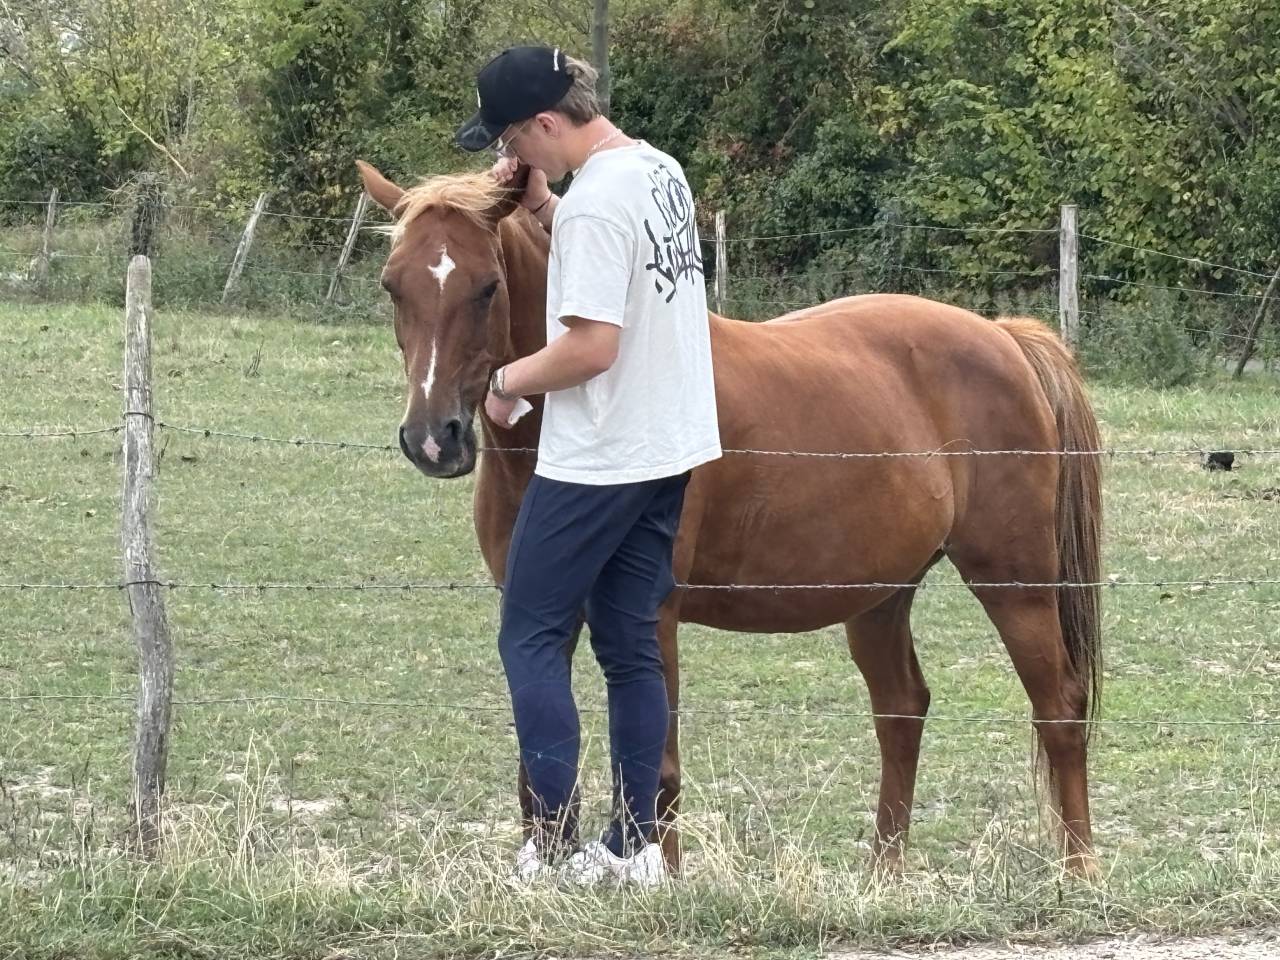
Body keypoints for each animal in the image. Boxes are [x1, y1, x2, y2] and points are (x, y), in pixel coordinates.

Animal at [355, 159, 1104, 876]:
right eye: (394, 287)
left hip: (1015, 585)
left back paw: (1078, 875)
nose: (434, 437)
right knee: (901, 710)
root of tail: (1004, 339)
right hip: (880, 596)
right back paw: (883, 877)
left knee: (1060, 710)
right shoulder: (539, 607)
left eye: (486, 287)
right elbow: (539, 756)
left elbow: (656, 766)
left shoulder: (648, 616)